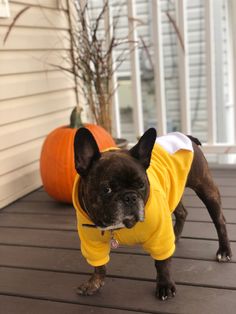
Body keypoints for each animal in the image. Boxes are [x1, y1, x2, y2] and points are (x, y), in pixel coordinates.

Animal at [72, 127, 232, 300]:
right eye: (106, 189)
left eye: (142, 185)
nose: (130, 197)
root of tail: (186, 136)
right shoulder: (91, 242)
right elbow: (99, 263)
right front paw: (94, 282)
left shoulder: (160, 234)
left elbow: (162, 262)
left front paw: (165, 285)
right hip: (174, 191)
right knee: (182, 212)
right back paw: (175, 235)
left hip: (206, 188)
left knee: (219, 220)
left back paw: (224, 251)